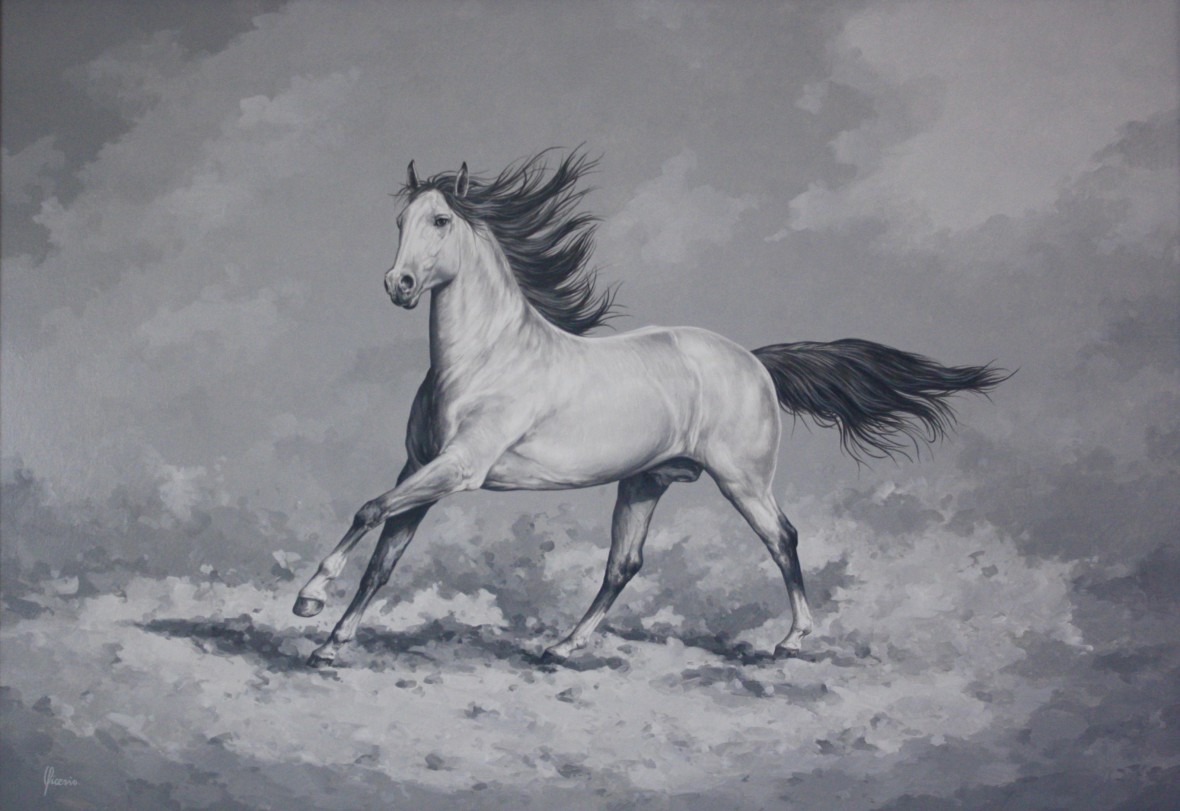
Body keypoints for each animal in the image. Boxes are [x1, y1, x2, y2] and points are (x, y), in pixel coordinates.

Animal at [292, 150, 1007, 668]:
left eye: (439, 222)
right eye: (399, 224)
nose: (400, 285)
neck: (485, 360)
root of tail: (752, 359)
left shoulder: (460, 469)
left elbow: (367, 511)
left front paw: (308, 601)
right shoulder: (422, 471)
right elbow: (382, 559)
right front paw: (332, 642)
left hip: (741, 479)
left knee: (783, 538)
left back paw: (791, 641)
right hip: (644, 481)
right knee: (624, 565)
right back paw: (564, 646)